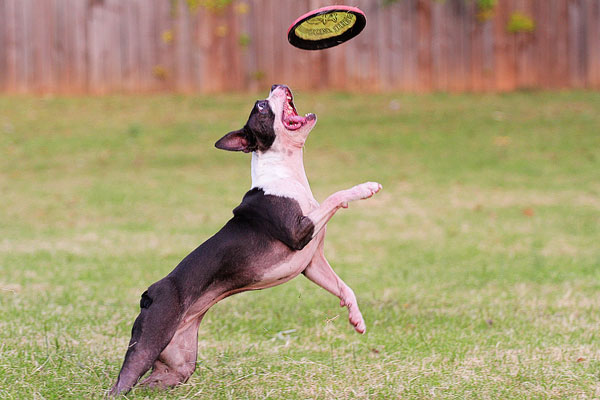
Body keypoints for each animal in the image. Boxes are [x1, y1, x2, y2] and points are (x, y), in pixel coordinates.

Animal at [110, 86, 382, 396]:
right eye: (261, 107)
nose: (277, 85)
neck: (286, 172)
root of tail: (149, 293)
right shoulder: (299, 232)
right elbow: (334, 196)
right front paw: (364, 189)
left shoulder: (311, 263)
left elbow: (344, 287)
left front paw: (356, 318)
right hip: (149, 342)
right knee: (120, 384)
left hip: (177, 366)